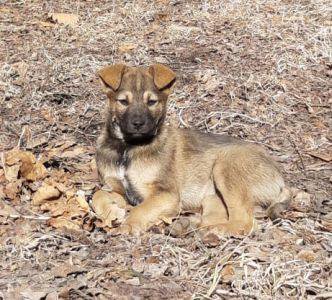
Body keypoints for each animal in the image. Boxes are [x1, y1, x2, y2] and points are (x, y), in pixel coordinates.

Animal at [94, 64, 290, 236]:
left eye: (151, 102)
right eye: (123, 101)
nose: (138, 124)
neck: (127, 149)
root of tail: (280, 178)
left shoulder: (166, 194)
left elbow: (140, 209)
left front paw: (128, 225)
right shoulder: (117, 187)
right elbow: (98, 194)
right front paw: (111, 212)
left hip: (225, 166)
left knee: (245, 222)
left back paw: (215, 230)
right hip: (213, 197)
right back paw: (187, 225)